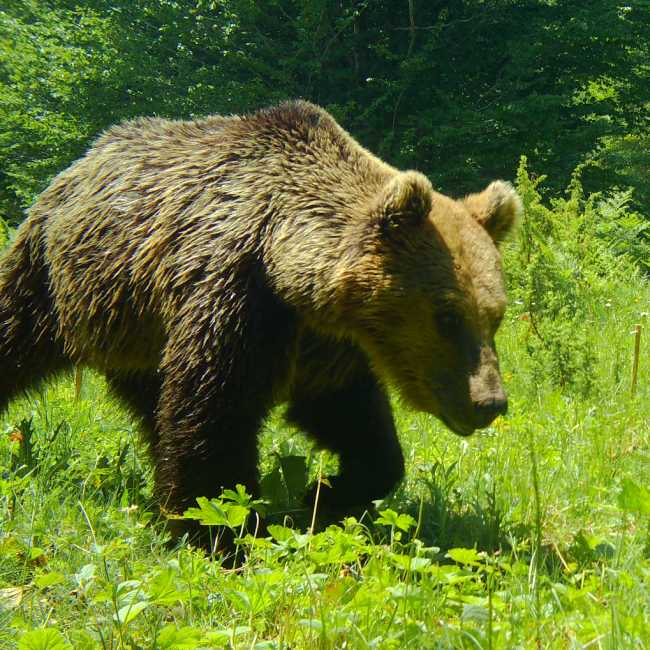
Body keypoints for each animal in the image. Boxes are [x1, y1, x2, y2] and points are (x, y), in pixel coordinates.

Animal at [0, 100, 521, 544]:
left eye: (494, 316)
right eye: (447, 316)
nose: (489, 402)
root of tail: (82, 159)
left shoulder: (324, 343)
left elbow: (352, 417)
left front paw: (325, 492)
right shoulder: (236, 295)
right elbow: (214, 412)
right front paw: (220, 531)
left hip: (134, 328)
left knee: (151, 402)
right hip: (52, 276)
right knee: (15, 334)